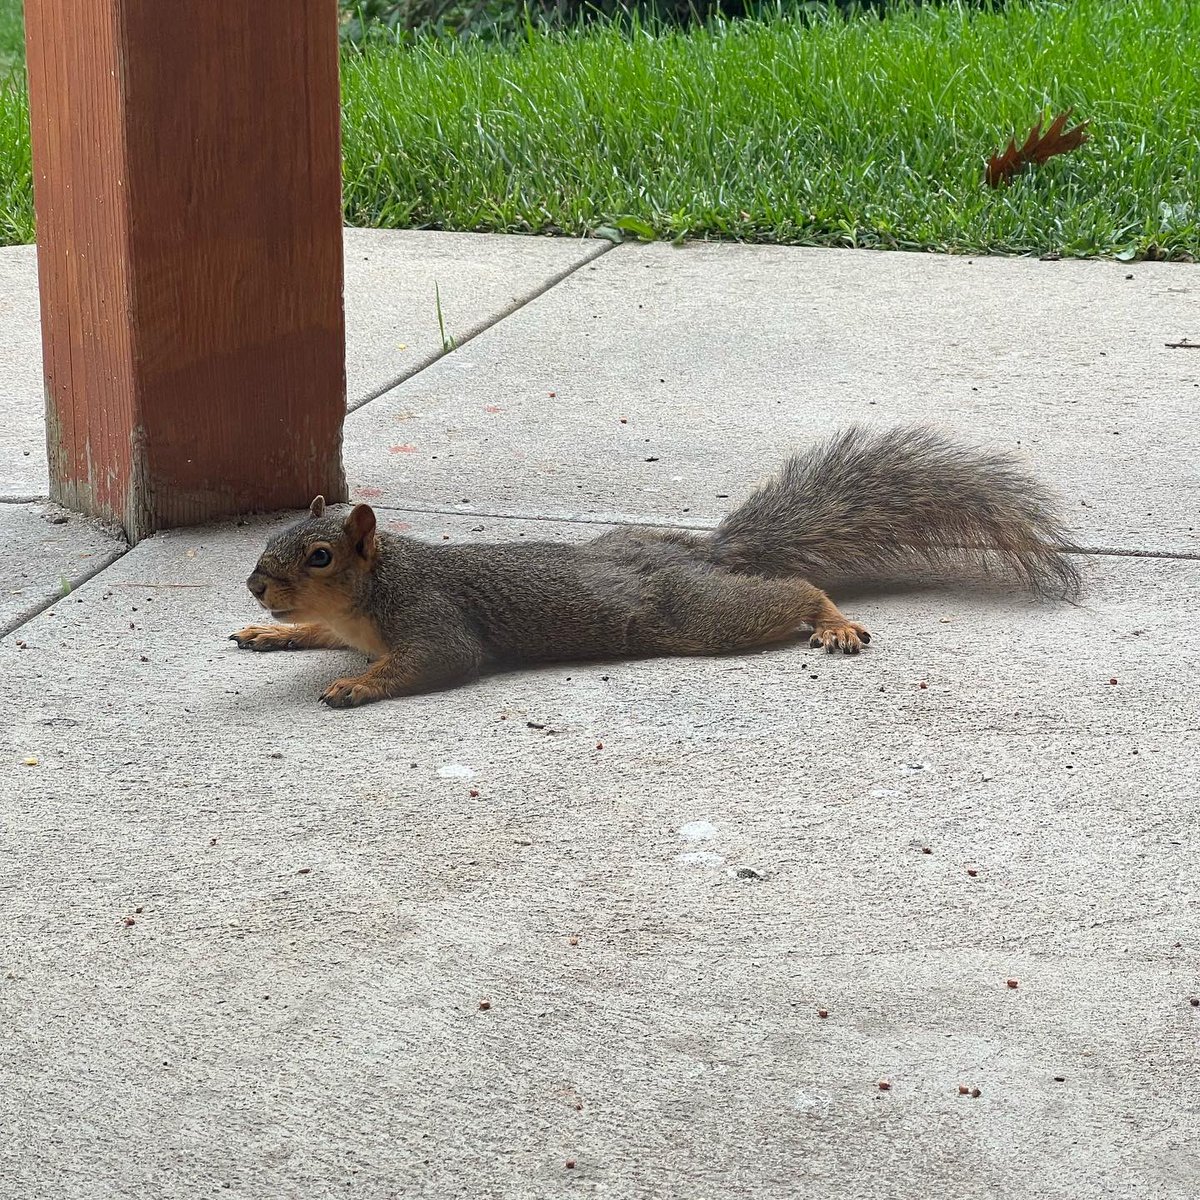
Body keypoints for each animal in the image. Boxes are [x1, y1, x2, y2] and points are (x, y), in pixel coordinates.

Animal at [230, 425, 1082, 708]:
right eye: (277, 537)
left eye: (318, 554)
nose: (255, 585)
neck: (373, 595)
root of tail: (701, 553)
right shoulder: (349, 627)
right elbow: (315, 636)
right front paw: (270, 634)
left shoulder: (435, 623)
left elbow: (431, 662)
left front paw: (355, 685)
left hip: (697, 614)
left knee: (794, 590)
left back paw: (833, 620)